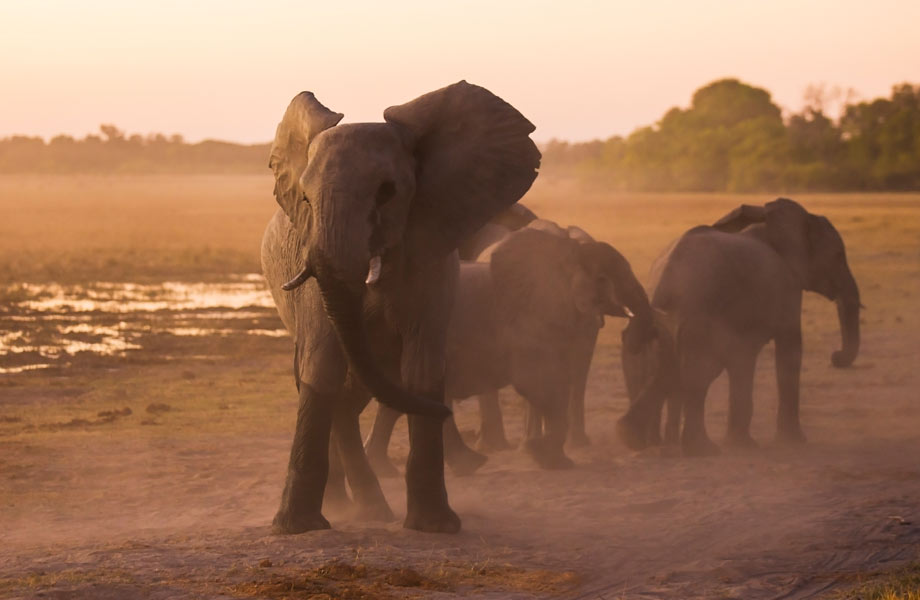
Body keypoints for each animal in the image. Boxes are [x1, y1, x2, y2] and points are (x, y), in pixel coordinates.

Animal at [260, 81, 540, 533]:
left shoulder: (431, 255)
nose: (448, 410)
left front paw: (434, 527)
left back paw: (369, 509)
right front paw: (295, 529)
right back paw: (358, 509)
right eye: (304, 198)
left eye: (387, 192)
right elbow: (322, 367)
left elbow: (421, 370)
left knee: (356, 393)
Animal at [364, 218, 655, 472]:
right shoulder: (525, 320)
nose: (633, 338)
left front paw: (545, 456)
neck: (569, 250)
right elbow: (539, 382)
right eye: (607, 278)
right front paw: (546, 457)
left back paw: (392, 470)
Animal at [616, 198, 861, 456]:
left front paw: (741, 443)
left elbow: (743, 359)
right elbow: (789, 346)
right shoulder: (787, 286)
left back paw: (633, 437)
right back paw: (701, 449)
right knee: (694, 373)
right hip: (699, 313)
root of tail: (665, 281)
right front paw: (792, 442)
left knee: (671, 369)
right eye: (838, 255)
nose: (836, 356)